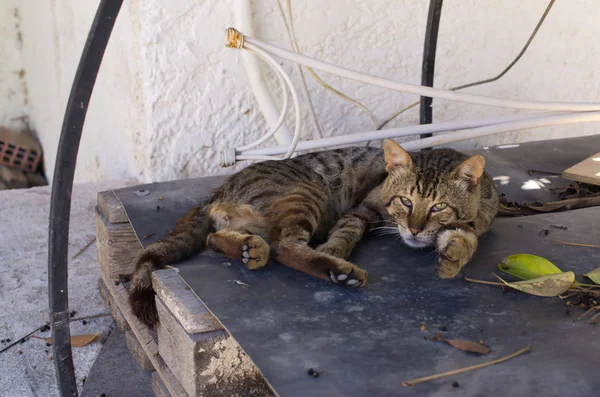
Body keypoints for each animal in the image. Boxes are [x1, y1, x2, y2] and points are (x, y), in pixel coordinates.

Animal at [129, 139, 500, 324]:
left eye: (438, 207)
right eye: (405, 202)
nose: (413, 228)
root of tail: (221, 188)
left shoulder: (472, 223)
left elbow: (466, 238)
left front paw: (453, 255)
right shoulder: (362, 209)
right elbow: (345, 233)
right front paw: (334, 251)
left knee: (215, 238)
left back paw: (249, 248)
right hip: (307, 194)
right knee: (286, 248)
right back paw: (336, 270)